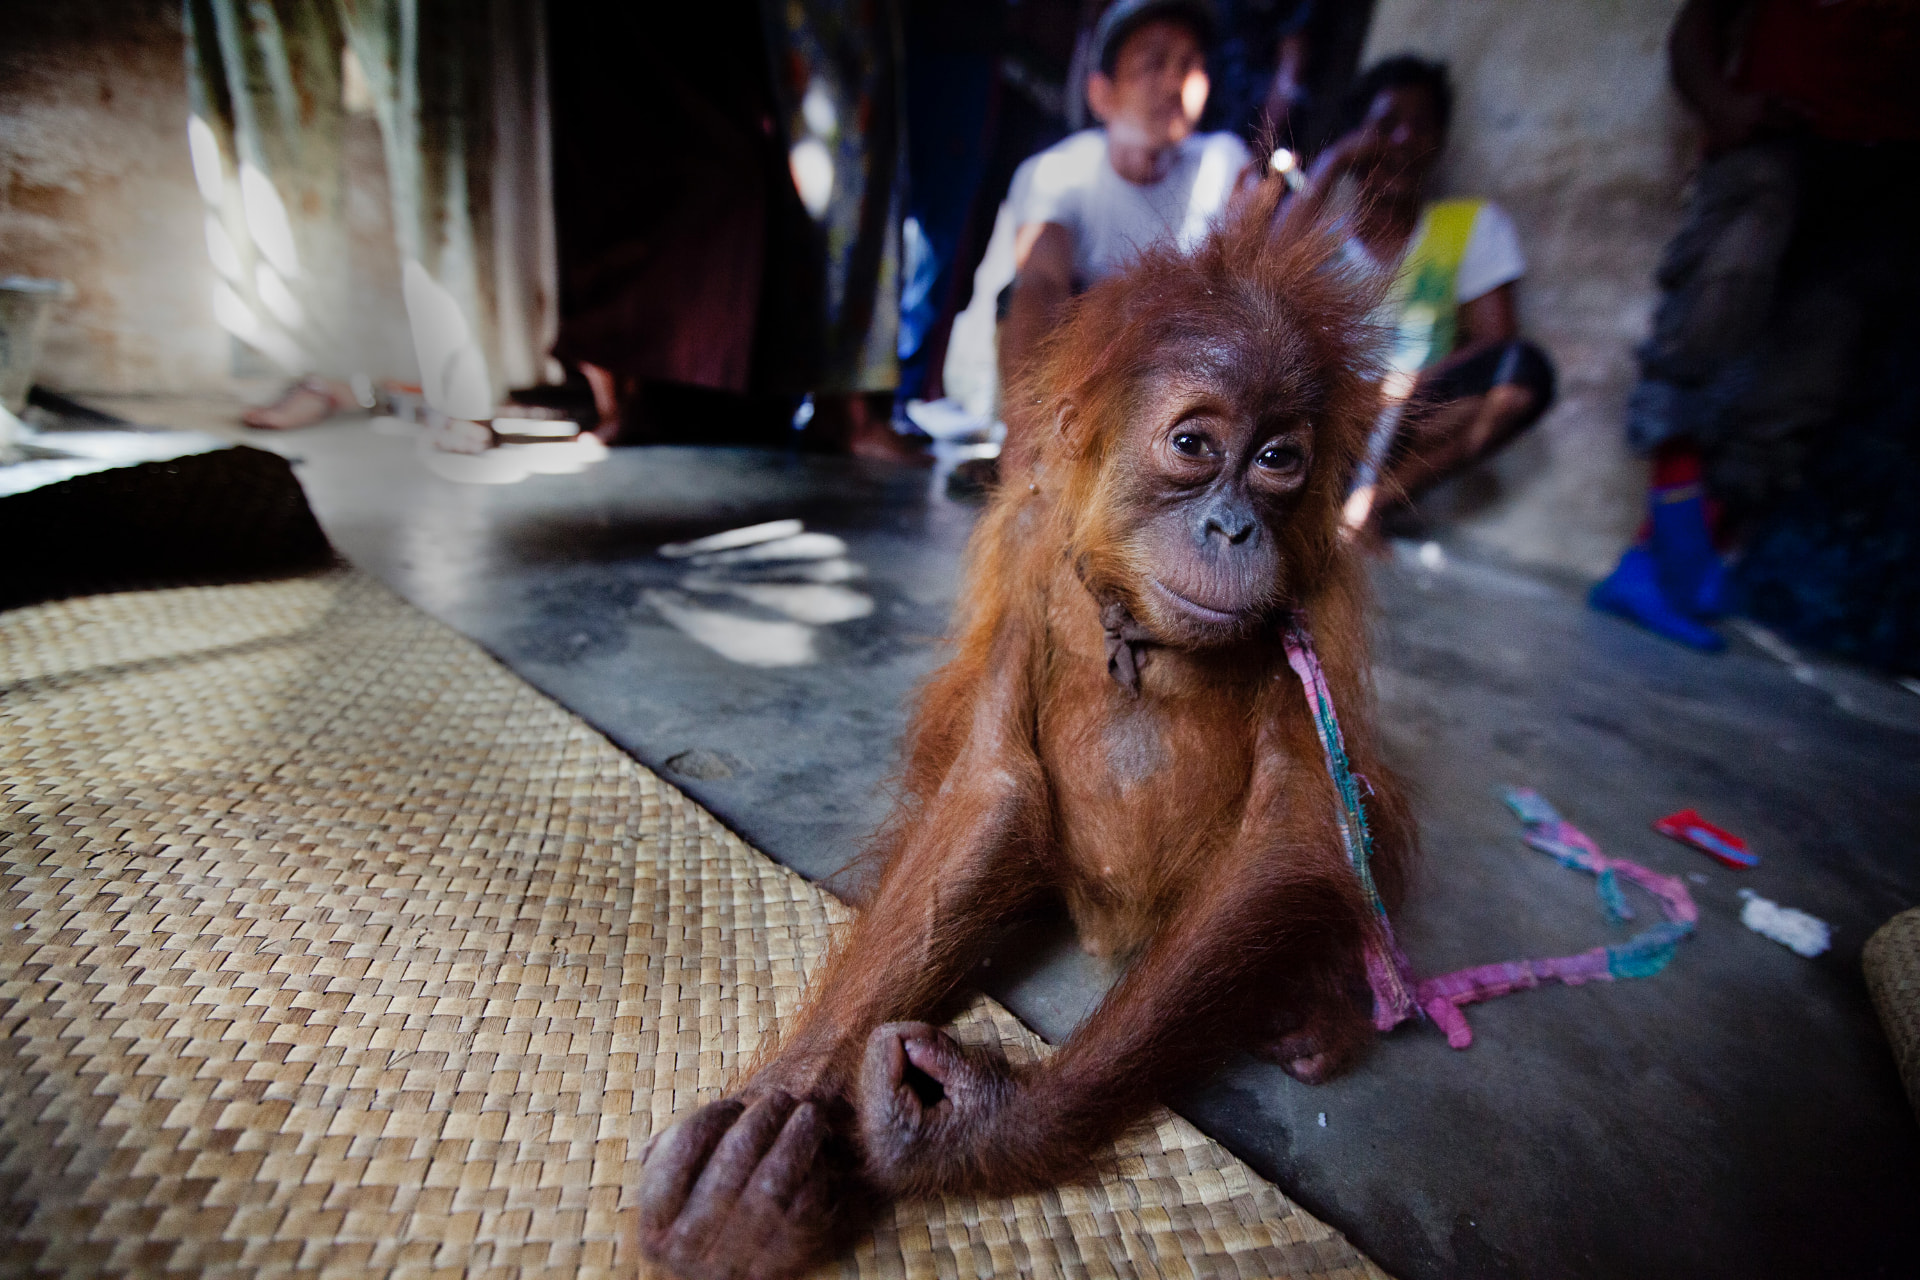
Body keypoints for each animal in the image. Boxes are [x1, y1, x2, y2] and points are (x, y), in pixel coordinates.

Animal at [633, 177, 1412, 1280]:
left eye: (1277, 461)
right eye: (1193, 446)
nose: (1232, 528)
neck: (1137, 615)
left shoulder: (1314, 586)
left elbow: (1290, 832)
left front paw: (977, 1124)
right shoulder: (1033, 547)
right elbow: (995, 785)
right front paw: (760, 1137)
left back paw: (1314, 1010)